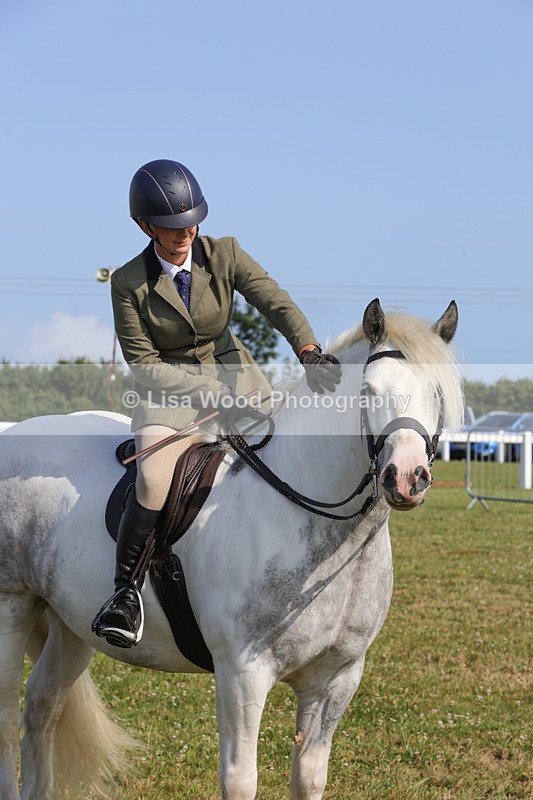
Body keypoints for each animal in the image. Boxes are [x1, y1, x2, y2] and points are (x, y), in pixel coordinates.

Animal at [0, 299, 463, 800]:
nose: (407, 477)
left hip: (70, 622)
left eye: (438, 394)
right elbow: (241, 780)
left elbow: (309, 777)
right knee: (7, 718)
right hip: (11, 607)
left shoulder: (336, 680)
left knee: (41, 706)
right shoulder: (243, 674)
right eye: (371, 391)